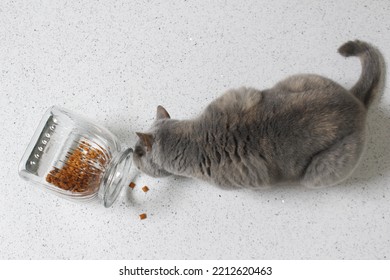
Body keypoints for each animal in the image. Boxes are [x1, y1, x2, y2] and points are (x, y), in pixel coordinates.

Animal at [133, 40, 384, 188]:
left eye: (136, 154)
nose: (132, 158)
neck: (193, 138)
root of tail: (355, 102)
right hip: (300, 80)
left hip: (321, 170)